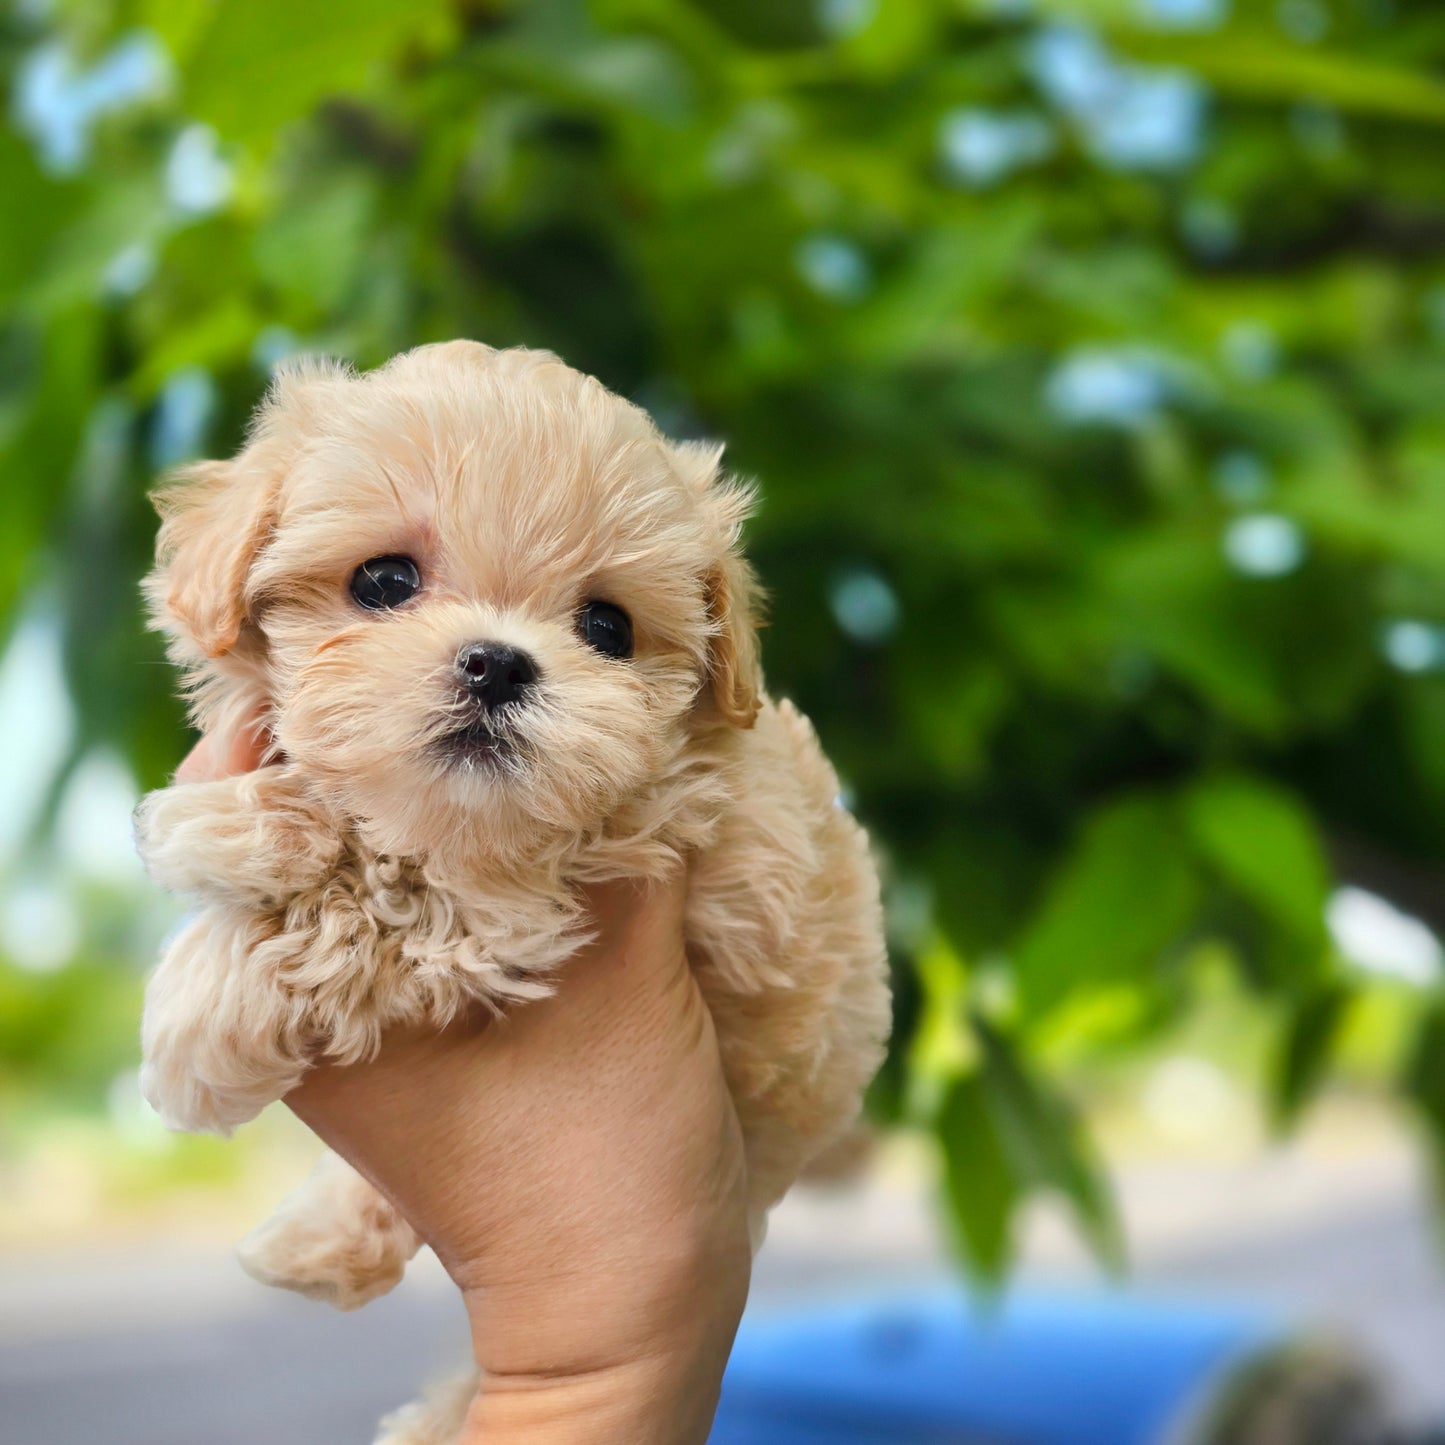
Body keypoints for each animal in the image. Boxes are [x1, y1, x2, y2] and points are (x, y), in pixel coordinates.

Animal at [135, 341, 890, 1445]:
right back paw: (316, 1241)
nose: (496, 663)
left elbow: (367, 900)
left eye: (608, 626)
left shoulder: (557, 880)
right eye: (384, 579)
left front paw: (200, 991)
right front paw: (256, 823)